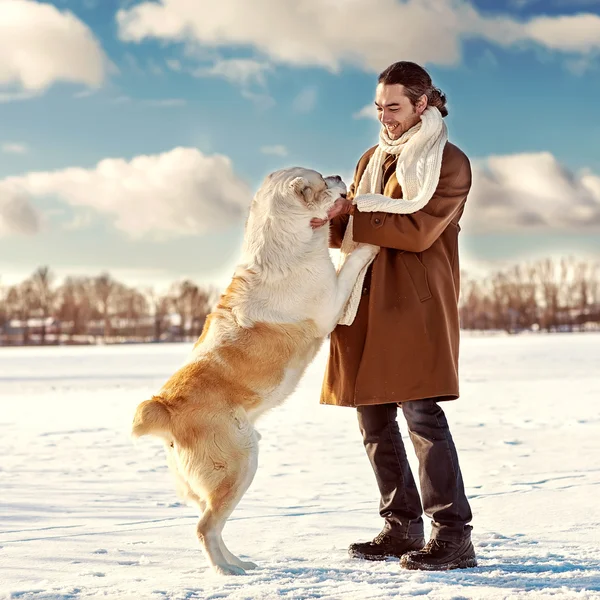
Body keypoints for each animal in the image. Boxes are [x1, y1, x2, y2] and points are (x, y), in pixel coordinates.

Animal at [133, 166, 378, 576]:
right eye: (320, 179)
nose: (338, 174)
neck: (285, 244)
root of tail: (165, 408)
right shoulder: (330, 303)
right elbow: (350, 265)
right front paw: (369, 246)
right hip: (239, 465)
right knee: (205, 528)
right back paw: (226, 572)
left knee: (213, 525)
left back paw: (239, 564)